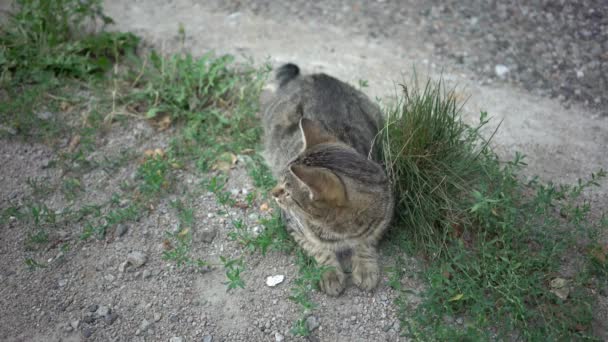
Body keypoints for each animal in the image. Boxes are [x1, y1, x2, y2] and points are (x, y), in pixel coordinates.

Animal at [262, 64, 394, 296]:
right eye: (281, 182)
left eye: (287, 190)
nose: (273, 192)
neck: (342, 233)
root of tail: (320, 75)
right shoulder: (292, 224)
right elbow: (318, 248)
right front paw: (330, 273)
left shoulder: (383, 219)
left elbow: (366, 243)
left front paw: (365, 267)